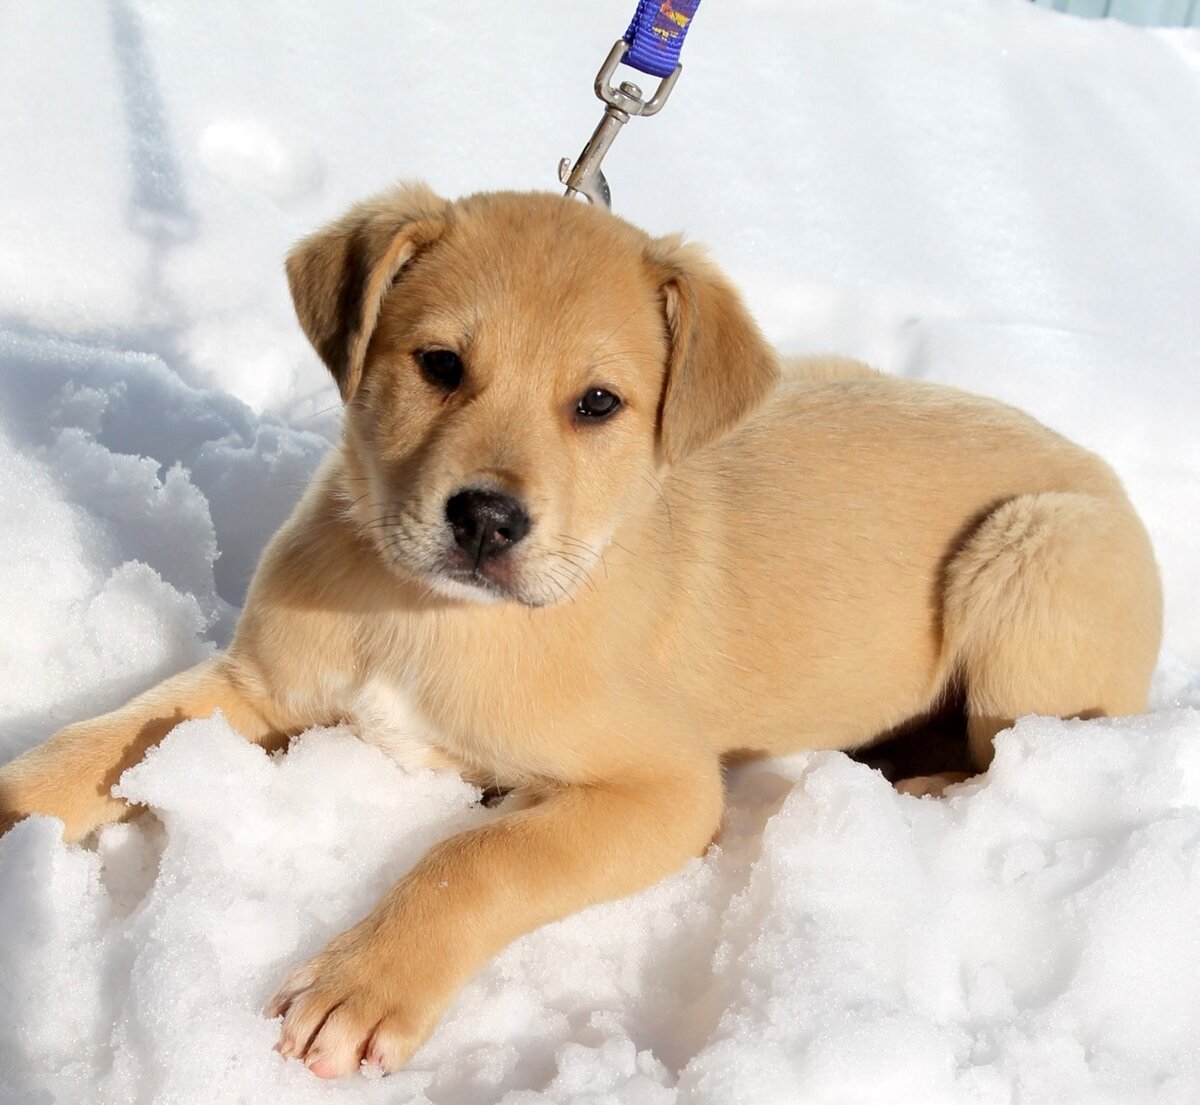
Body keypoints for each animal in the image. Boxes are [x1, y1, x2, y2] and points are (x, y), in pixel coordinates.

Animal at [0, 185, 1161, 1075]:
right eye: (438, 364)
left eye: (599, 402)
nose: (485, 518)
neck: (430, 619)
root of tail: (1098, 470)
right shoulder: (260, 683)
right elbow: (111, 734)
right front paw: (20, 799)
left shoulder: (666, 787)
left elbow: (482, 856)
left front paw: (364, 984)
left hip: (1034, 554)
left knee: (1009, 750)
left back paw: (908, 779)